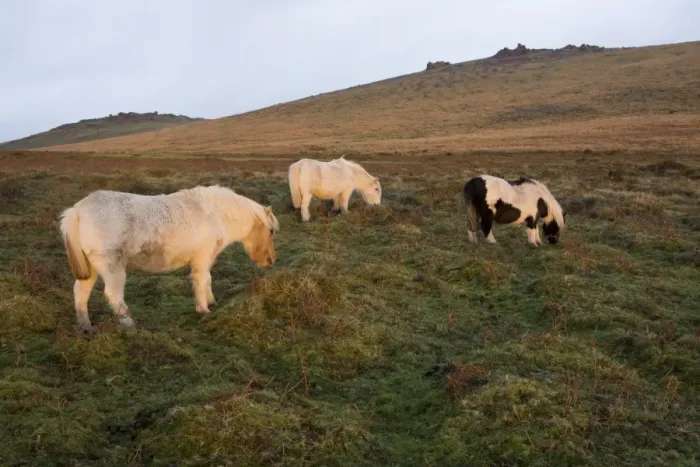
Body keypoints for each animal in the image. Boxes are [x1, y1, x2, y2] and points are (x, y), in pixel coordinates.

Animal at [59, 185, 280, 331]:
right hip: (113, 269)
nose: (271, 260)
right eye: (270, 231)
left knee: (80, 293)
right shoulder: (201, 258)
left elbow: (208, 280)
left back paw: (85, 326)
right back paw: (130, 326)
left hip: (91, 269)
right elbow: (201, 282)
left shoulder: (206, 258)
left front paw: (211, 302)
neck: (215, 214)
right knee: (114, 296)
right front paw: (203, 309)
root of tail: (77, 212)